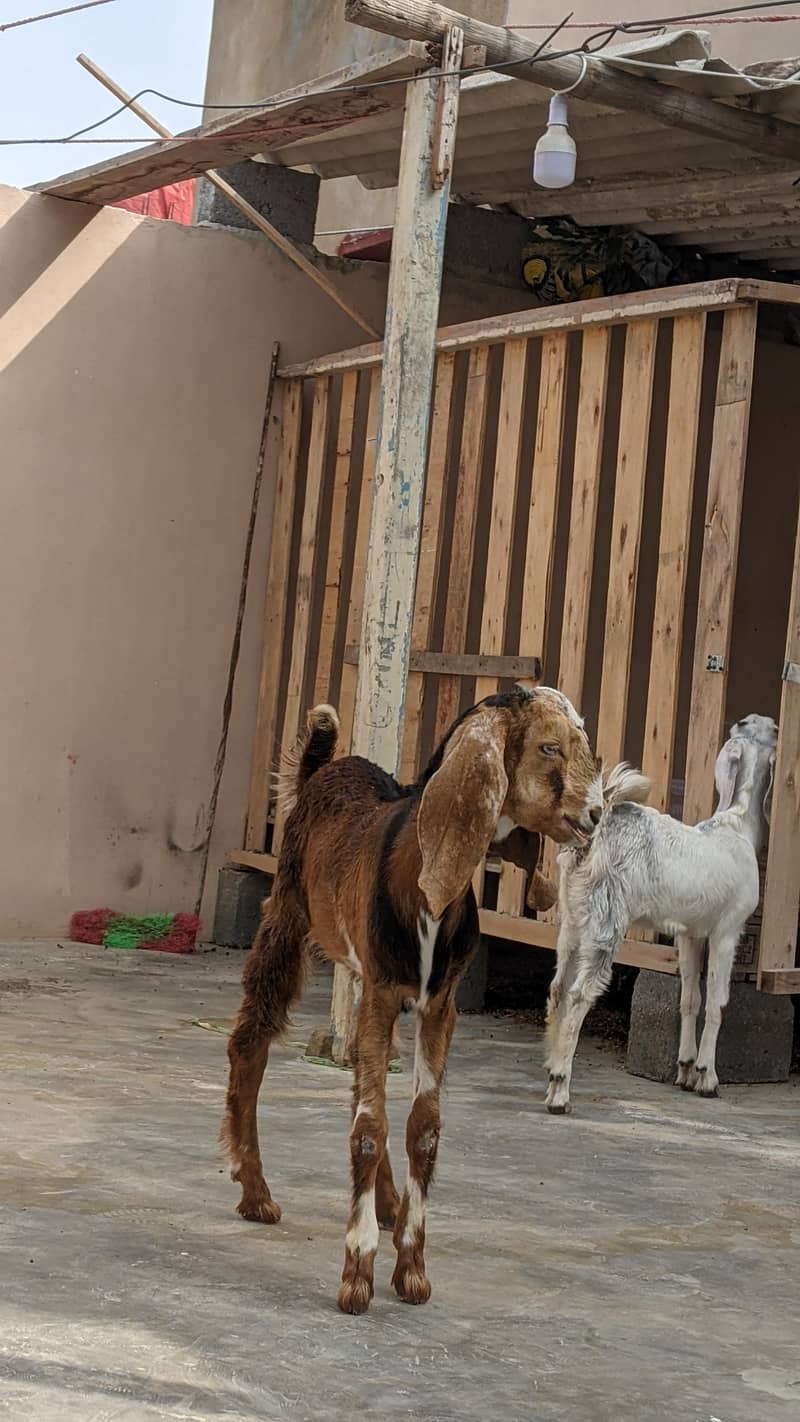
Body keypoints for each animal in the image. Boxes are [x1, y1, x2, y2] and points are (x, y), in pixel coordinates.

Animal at [222, 686, 603, 1314]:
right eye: (549, 746)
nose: (595, 814)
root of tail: (325, 767)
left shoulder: (437, 1004)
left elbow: (422, 1127)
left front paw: (411, 1269)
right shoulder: (381, 990)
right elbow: (369, 1128)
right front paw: (357, 1273)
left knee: (356, 1071)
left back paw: (387, 1204)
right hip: (287, 915)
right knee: (250, 1042)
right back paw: (255, 1193)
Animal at [544, 714, 778, 1114]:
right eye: (771, 730)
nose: (779, 726)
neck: (737, 826)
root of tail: (592, 838)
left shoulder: (690, 934)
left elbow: (690, 998)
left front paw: (685, 1069)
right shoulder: (727, 930)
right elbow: (717, 1002)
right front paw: (707, 1077)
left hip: (574, 921)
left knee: (559, 988)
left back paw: (549, 1076)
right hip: (607, 921)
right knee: (578, 995)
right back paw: (560, 1090)